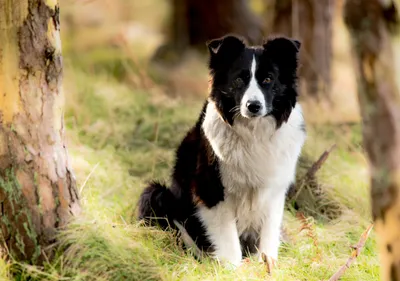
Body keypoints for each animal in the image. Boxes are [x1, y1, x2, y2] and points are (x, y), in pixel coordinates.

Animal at [138, 34, 306, 266]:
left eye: (268, 79)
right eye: (239, 80)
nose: (253, 106)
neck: (253, 133)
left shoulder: (274, 189)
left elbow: (269, 232)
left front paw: (267, 264)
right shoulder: (210, 189)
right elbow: (228, 238)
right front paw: (231, 268)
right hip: (154, 193)